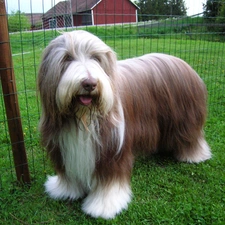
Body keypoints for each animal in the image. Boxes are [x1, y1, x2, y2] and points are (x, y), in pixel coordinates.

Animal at [37, 29, 211, 220]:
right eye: (67, 58)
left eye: (96, 58)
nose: (89, 83)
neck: (83, 118)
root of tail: (182, 62)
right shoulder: (63, 146)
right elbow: (68, 173)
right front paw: (65, 190)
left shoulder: (112, 149)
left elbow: (110, 180)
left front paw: (104, 205)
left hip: (185, 120)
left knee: (191, 137)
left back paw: (194, 156)